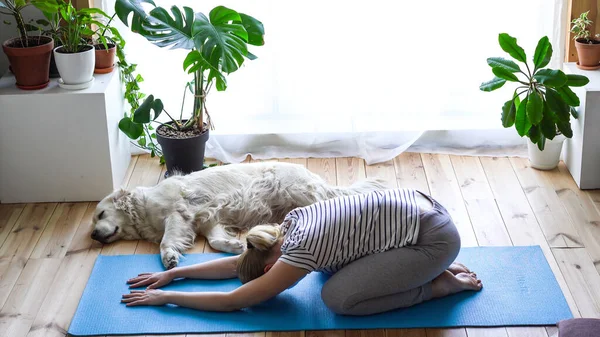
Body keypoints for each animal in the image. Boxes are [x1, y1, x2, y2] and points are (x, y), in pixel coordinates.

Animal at [91, 161, 386, 270]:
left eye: (102, 214)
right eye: (95, 220)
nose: (93, 235)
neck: (142, 208)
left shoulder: (178, 213)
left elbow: (166, 241)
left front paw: (169, 257)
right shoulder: (208, 219)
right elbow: (214, 240)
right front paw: (235, 245)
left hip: (298, 190)